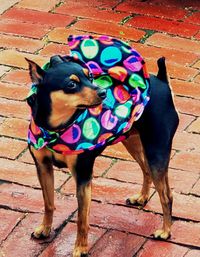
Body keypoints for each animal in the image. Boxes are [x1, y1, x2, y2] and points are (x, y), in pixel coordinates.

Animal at [26, 35, 178, 256]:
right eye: (71, 84)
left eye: (90, 76)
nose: (103, 92)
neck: (56, 128)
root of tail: (162, 81)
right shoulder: (43, 167)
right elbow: (49, 203)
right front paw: (45, 229)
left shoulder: (82, 175)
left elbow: (82, 218)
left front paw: (80, 248)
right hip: (133, 141)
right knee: (146, 170)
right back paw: (141, 198)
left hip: (156, 149)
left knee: (166, 194)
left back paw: (165, 231)